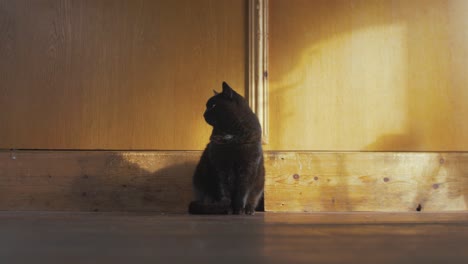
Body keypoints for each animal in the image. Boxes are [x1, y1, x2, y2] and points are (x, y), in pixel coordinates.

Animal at [188, 82, 266, 214]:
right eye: (207, 106)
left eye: (213, 105)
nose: (204, 114)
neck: (231, 134)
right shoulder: (220, 166)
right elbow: (223, 189)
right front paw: (227, 207)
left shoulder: (248, 166)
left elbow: (243, 190)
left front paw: (239, 209)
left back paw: (249, 210)